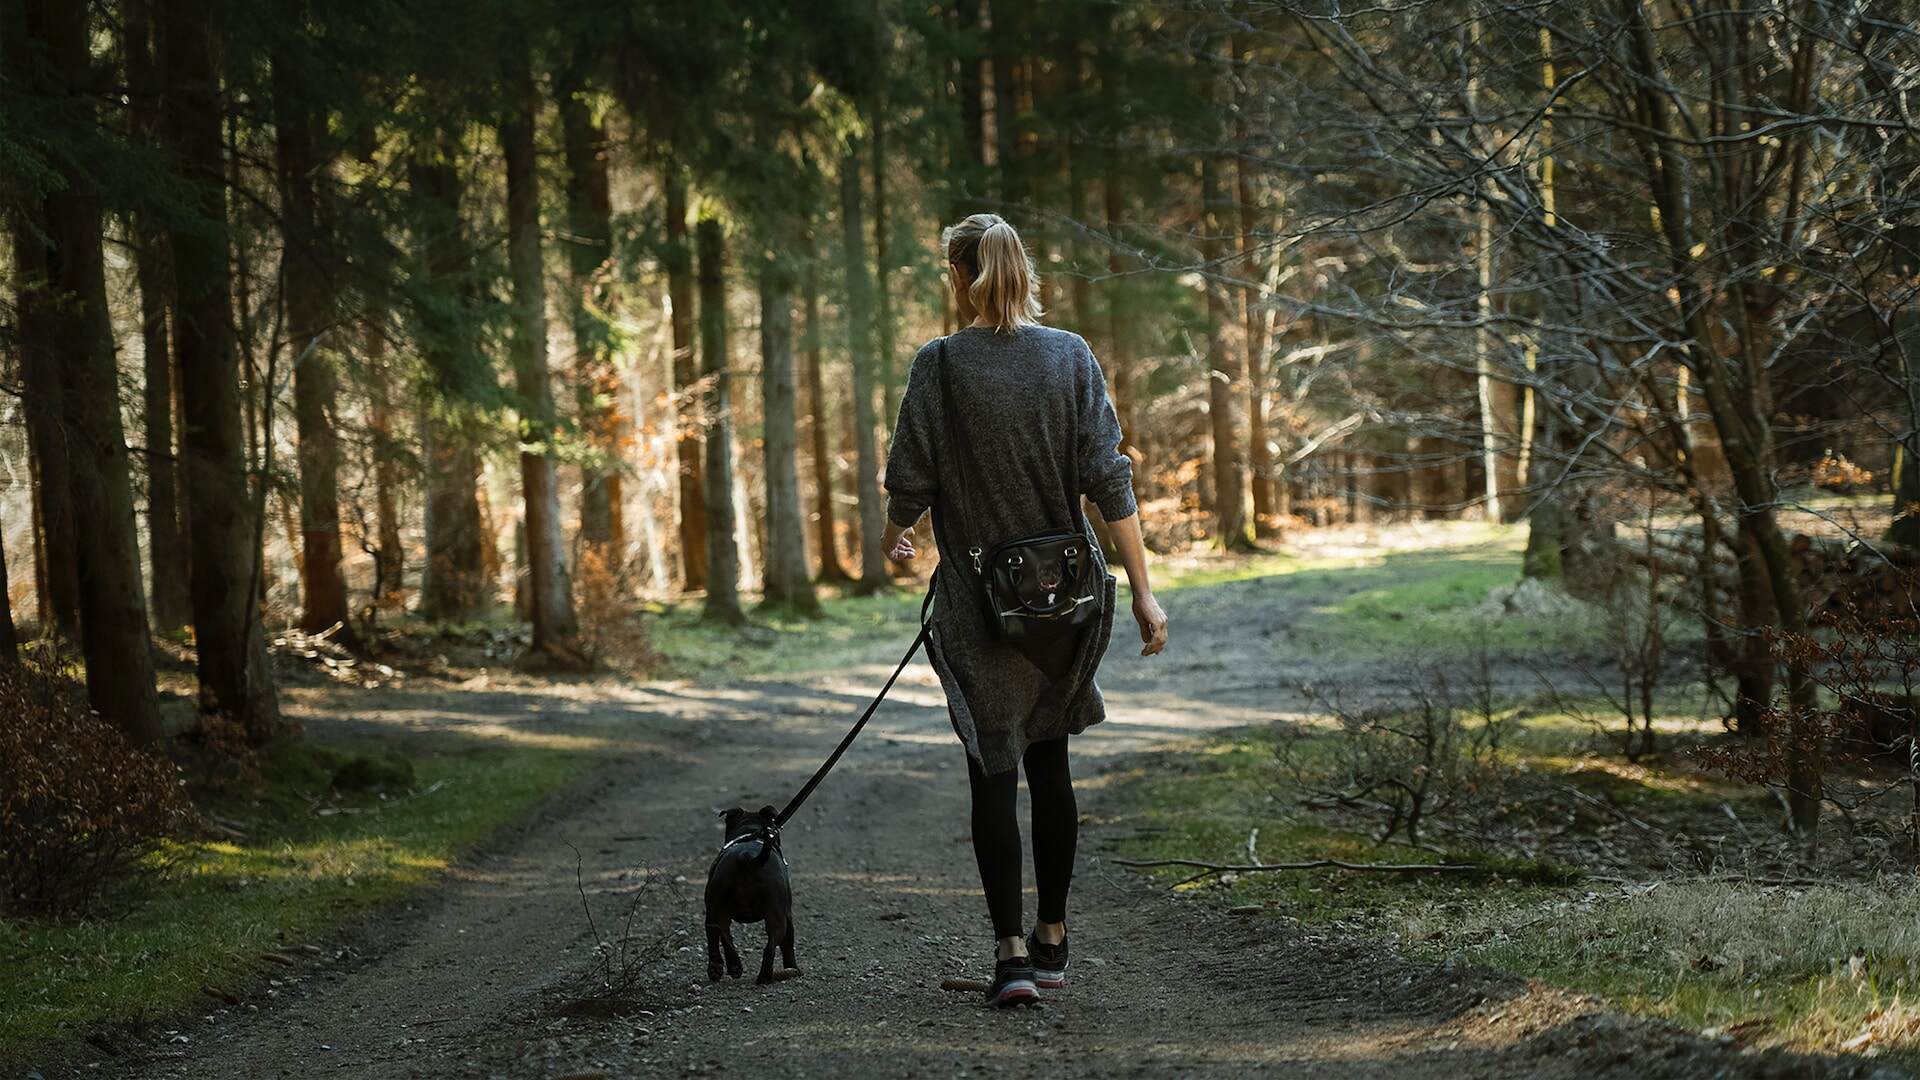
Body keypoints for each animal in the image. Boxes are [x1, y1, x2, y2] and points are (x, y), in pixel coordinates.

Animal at [706, 799, 794, 983]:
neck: (751, 832)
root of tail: (746, 858)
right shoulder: (788, 915)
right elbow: (788, 946)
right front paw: (792, 967)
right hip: (777, 915)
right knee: (770, 946)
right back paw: (764, 976)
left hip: (716, 908)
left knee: (721, 934)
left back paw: (729, 967)